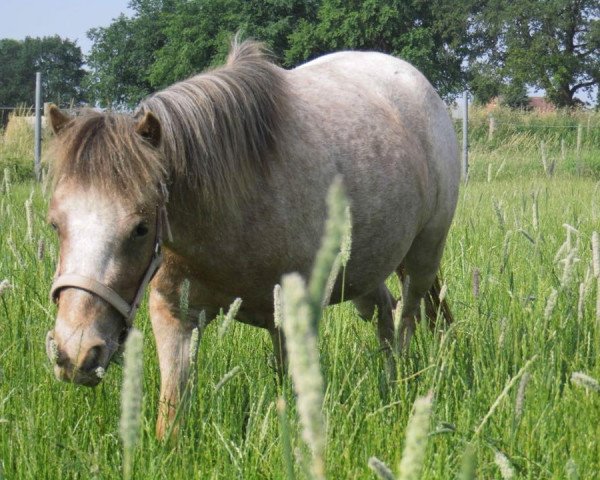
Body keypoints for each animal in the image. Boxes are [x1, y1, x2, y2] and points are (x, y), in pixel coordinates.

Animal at [45, 39, 460, 436]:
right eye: (55, 224)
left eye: (141, 228)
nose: (76, 352)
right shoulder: (174, 314)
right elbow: (172, 413)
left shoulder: (295, 312)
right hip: (364, 272)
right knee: (385, 313)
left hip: (422, 258)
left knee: (407, 316)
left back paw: (403, 383)